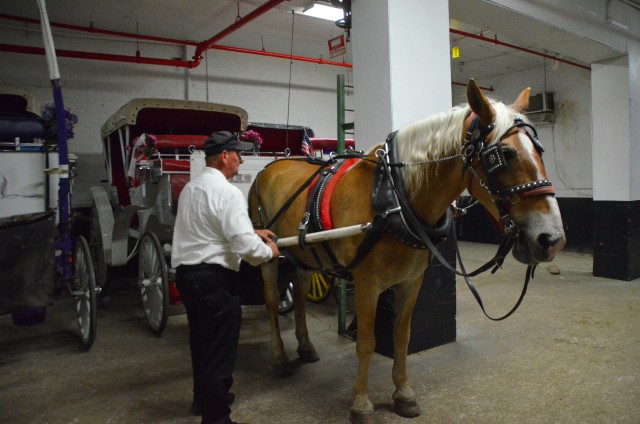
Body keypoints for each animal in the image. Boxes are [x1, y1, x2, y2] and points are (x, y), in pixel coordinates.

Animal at [248, 80, 568, 424]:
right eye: (503, 155)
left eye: (539, 150)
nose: (552, 238)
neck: (395, 198)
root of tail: (274, 164)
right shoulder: (366, 284)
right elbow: (366, 342)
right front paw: (361, 403)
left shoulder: (411, 282)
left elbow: (402, 337)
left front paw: (403, 394)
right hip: (270, 251)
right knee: (271, 301)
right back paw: (280, 358)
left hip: (306, 256)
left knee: (301, 294)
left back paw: (305, 346)